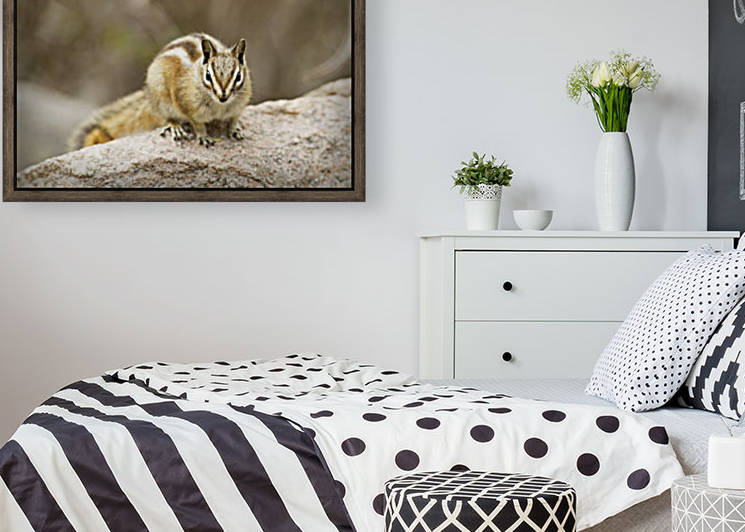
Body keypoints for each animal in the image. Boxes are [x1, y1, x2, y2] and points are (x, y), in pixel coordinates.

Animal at [69, 33, 252, 150]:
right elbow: (198, 124)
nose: (223, 96)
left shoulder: (237, 107)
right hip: (162, 101)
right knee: (166, 117)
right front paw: (203, 136)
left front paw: (234, 129)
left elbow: (233, 119)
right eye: (208, 76)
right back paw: (175, 126)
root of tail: (149, 96)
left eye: (238, 76)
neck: (219, 107)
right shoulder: (188, 106)